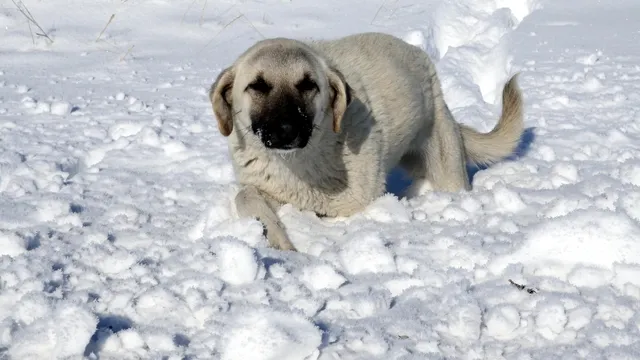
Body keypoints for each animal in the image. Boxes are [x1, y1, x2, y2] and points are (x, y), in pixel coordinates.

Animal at [208, 31, 524, 250]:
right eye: (257, 86)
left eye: (309, 85)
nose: (287, 130)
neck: (300, 162)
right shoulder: (270, 188)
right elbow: (245, 196)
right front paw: (273, 236)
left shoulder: (352, 203)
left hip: (447, 172)